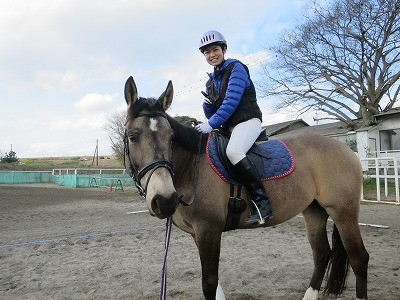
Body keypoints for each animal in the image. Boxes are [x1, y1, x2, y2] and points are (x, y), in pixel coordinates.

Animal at [122, 75, 368, 300]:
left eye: (172, 138)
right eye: (132, 137)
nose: (165, 200)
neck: (192, 166)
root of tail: (345, 148)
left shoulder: (209, 230)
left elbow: (209, 284)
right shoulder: (197, 234)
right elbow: (216, 287)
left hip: (343, 212)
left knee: (359, 258)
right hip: (314, 210)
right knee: (322, 254)